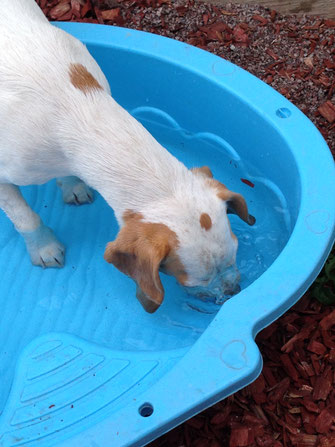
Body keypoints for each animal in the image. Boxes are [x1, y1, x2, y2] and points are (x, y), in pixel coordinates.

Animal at [0, 0, 255, 314]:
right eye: (194, 282)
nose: (232, 294)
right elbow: (26, 219)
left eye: (235, 253)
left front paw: (72, 185)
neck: (73, 109)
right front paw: (43, 247)